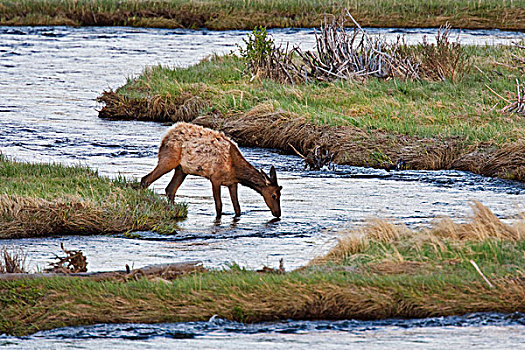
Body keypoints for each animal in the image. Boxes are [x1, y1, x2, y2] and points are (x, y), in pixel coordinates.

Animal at [138, 121, 278, 217]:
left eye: (280, 193)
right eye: (274, 195)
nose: (278, 213)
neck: (235, 170)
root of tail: (166, 135)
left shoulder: (232, 183)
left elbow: (237, 208)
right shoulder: (215, 178)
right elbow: (219, 206)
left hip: (181, 169)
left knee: (170, 189)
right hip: (168, 159)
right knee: (146, 179)